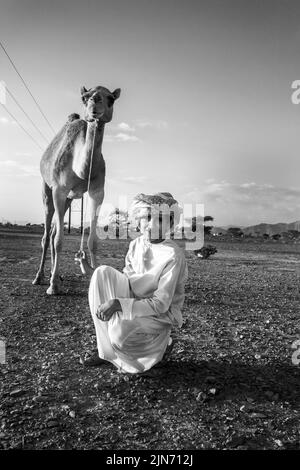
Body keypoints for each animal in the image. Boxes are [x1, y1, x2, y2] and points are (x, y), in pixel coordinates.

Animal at [32, 84, 120, 294]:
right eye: (85, 97)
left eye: (111, 98)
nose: (95, 102)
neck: (81, 168)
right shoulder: (59, 189)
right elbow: (59, 240)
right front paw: (53, 287)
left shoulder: (97, 192)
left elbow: (93, 242)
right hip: (47, 190)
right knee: (47, 235)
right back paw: (40, 277)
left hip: (69, 199)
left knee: (53, 232)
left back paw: (56, 275)